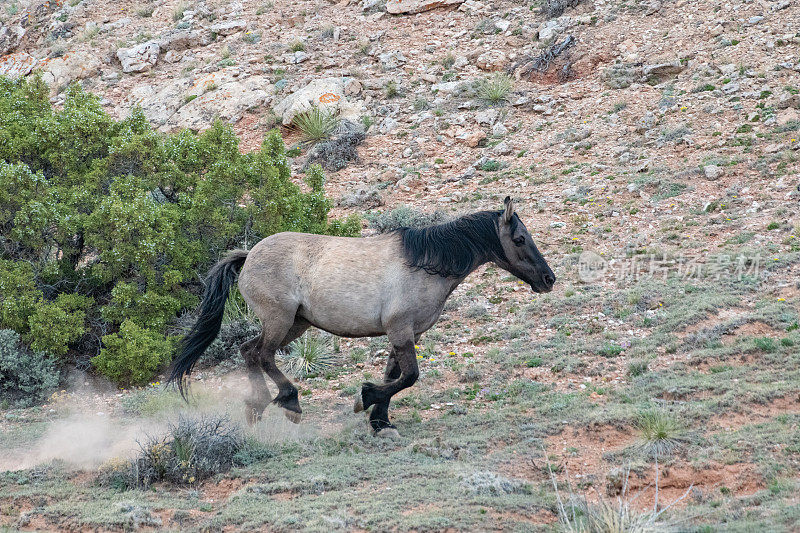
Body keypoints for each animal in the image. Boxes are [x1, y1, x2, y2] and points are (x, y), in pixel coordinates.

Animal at [167, 197, 556, 434]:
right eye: (519, 239)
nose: (548, 279)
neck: (425, 265)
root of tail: (248, 256)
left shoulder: (406, 335)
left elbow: (394, 375)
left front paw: (380, 419)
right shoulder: (400, 330)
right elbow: (409, 376)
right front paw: (366, 399)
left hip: (295, 324)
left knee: (249, 352)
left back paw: (257, 407)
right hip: (280, 320)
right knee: (262, 355)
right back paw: (289, 402)